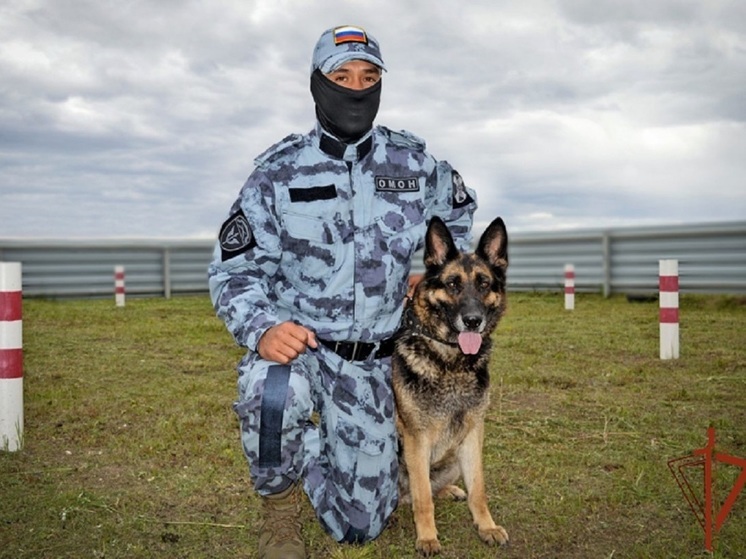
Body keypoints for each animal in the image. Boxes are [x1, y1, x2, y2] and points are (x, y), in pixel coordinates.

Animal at [392, 218, 508, 556]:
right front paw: (427, 537)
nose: (472, 321)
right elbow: (422, 499)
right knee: (414, 493)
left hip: (453, 459)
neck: (452, 362)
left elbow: (478, 489)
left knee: (432, 486)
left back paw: (448, 490)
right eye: (453, 284)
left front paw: (486, 526)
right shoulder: (417, 440)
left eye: (484, 284)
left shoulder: (472, 435)